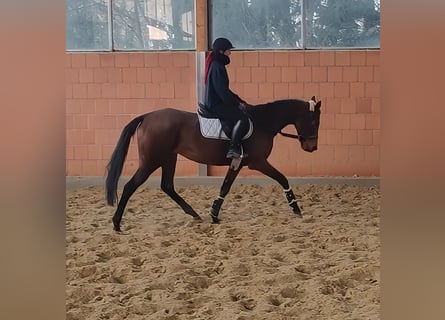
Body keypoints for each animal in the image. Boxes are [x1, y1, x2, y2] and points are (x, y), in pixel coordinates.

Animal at [105, 96, 320, 231]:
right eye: (314, 122)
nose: (312, 147)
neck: (262, 122)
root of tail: (147, 116)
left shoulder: (238, 163)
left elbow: (225, 186)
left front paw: (214, 214)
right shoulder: (258, 162)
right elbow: (282, 179)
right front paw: (296, 208)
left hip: (168, 158)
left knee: (167, 185)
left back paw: (194, 214)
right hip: (151, 160)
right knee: (130, 186)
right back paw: (116, 223)